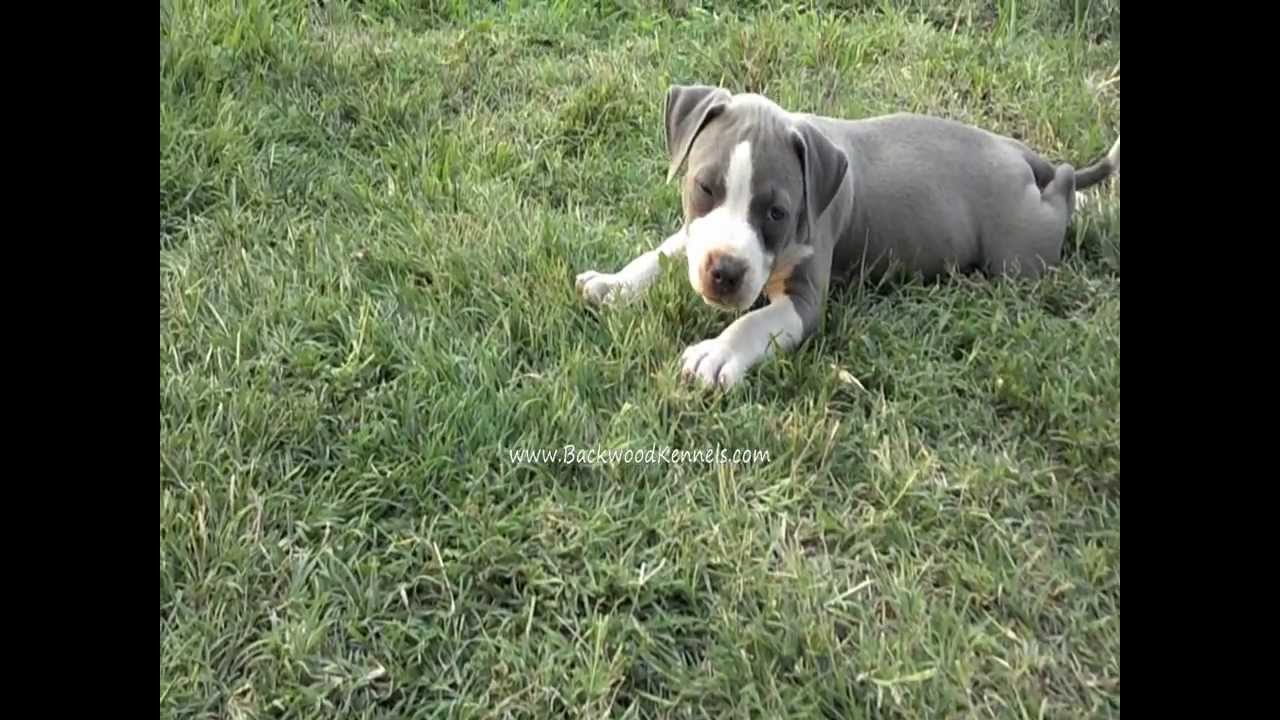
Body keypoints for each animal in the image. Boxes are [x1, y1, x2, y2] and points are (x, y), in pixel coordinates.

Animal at [576, 86, 1116, 389]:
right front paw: (614, 284)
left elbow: (752, 322)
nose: (724, 272)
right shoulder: (694, 236)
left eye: (777, 213)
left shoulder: (805, 300)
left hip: (1021, 251)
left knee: (1064, 190)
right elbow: (662, 253)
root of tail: (1019, 153)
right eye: (704, 187)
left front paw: (716, 354)